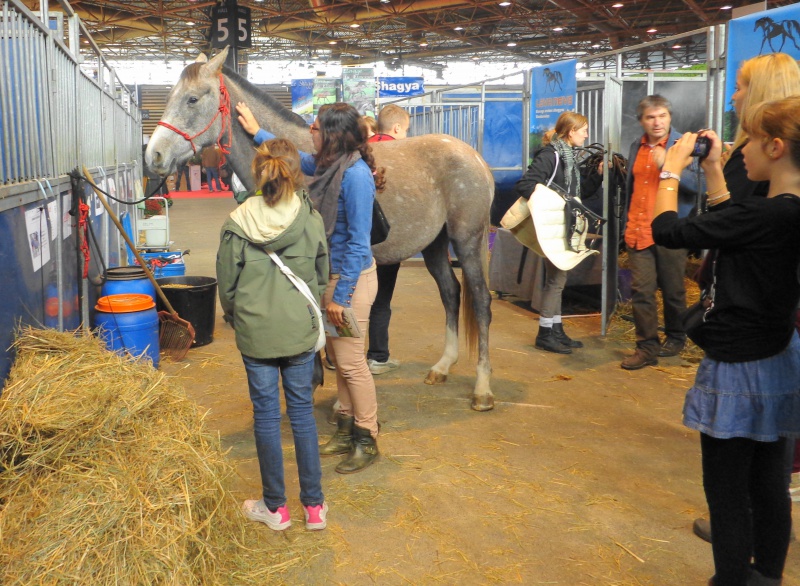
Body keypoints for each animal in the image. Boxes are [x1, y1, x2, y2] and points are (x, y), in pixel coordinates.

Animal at [144, 48, 494, 408]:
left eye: (192, 99)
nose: (153, 155)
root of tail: (475, 157)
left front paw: (313, 385)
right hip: (435, 244)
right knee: (451, 293)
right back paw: (442, 367)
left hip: (467, 239)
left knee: (480, 301)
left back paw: (482, 389)